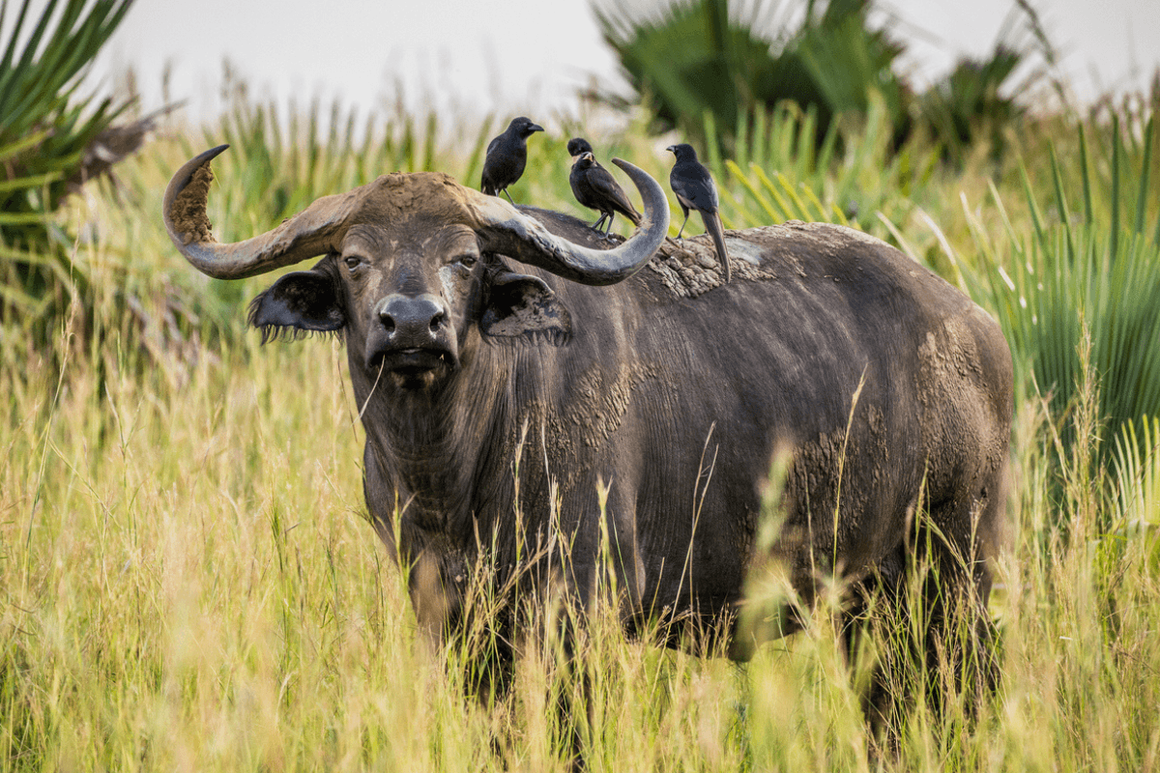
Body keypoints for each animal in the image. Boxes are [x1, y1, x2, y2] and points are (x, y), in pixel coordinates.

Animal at [164, 145, 1012, 735]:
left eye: (464, 258)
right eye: (352, 258)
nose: (411, 323)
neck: (455, 474)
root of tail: (978, 330)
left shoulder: (579, 611)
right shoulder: (449, 616)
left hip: (957, 573)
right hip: (868, 604)